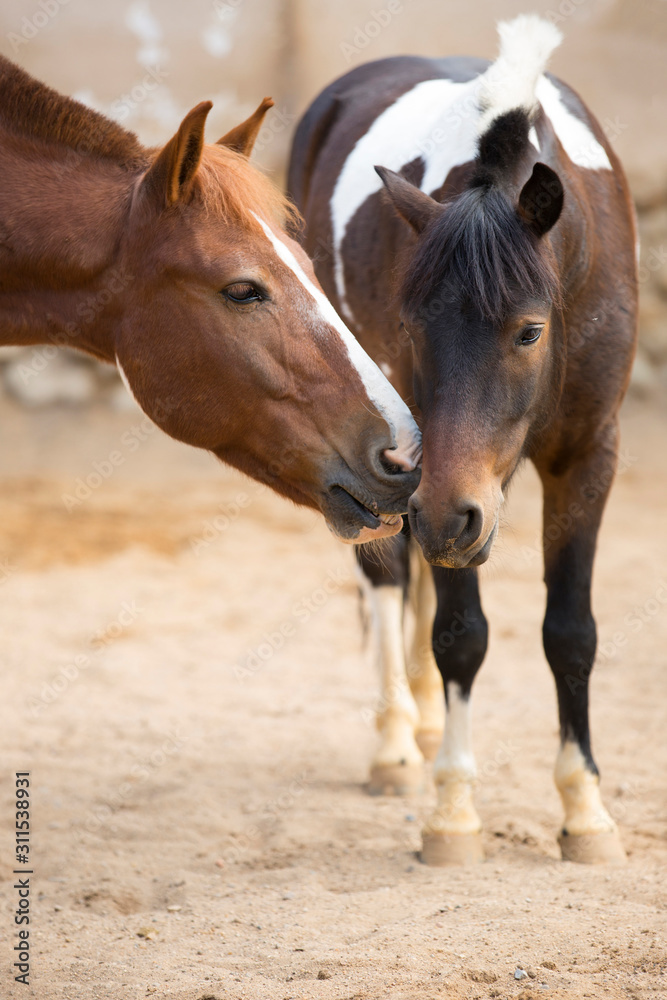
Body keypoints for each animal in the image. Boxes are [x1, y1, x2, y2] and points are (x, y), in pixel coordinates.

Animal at [288, 14, 638, 864]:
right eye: (413, 324)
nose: (448, 516)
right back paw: (395, 745)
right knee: (386, 578)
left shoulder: (585, 455)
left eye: (528, 330)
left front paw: (585, 813)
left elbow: (569, 633)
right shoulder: (430, 479)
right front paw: (452, 814)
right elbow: (459, 633)